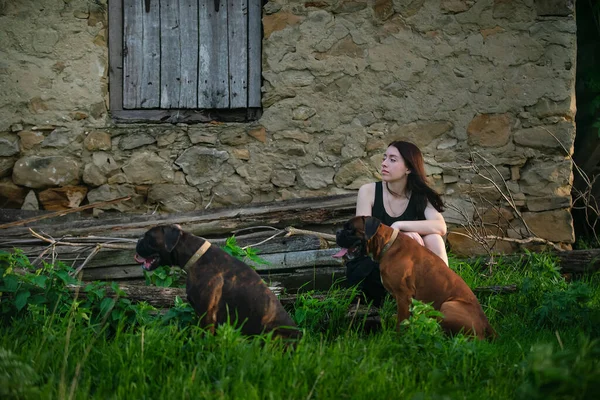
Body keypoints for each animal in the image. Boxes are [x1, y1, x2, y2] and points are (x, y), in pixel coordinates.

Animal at [338, 217, 496, 340]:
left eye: (350, 229)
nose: (338, 232)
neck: (387, 245)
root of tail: (487, 324)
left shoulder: (403, 295)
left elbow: (401, 321)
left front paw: (398, 338)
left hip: (448, 305)